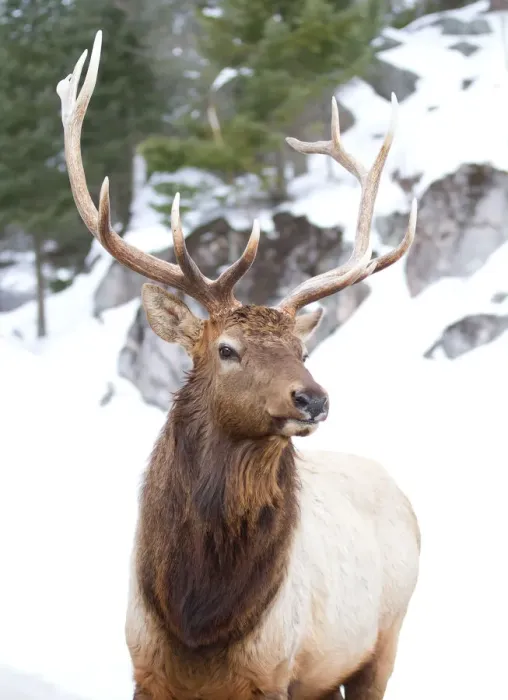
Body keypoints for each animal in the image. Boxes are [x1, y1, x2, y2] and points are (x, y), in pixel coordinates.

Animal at [57, 31, 420, 700]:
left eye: (303, 352)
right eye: (227, 349)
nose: (313, 399)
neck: (199, 623)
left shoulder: (272, 668)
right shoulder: (144, 665)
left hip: (382, 642)